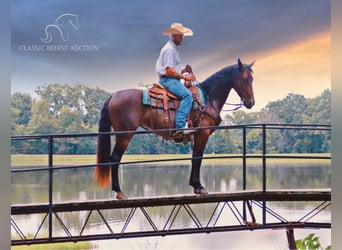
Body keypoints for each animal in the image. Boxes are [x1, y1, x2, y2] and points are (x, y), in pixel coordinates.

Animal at [93, 58, 254, 199]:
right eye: (245, 78)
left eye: (252, 79)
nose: (251, 103)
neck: (207, 99)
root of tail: (113, 95)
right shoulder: (203, 134)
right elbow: (198, 158)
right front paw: (199, 187)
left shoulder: (196, 135)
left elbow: (193, 158)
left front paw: (194, 185)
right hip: (124, 135)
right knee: (115, 158)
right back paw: (119, 192)